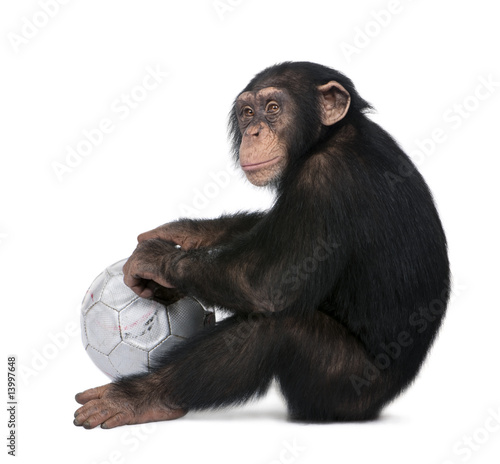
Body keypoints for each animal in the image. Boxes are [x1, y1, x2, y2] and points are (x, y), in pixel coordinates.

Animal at [73, 62, 450, 432]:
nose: (253, 132)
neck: (324, 139)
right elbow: (267, 235)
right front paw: (185, 233)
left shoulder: (323, 181)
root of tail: (382, 403)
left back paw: (141, 398)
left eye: (272, 109)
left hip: (345, 389)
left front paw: (154, 260)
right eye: (247, 112)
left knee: (277, 325)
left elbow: (270, 282)